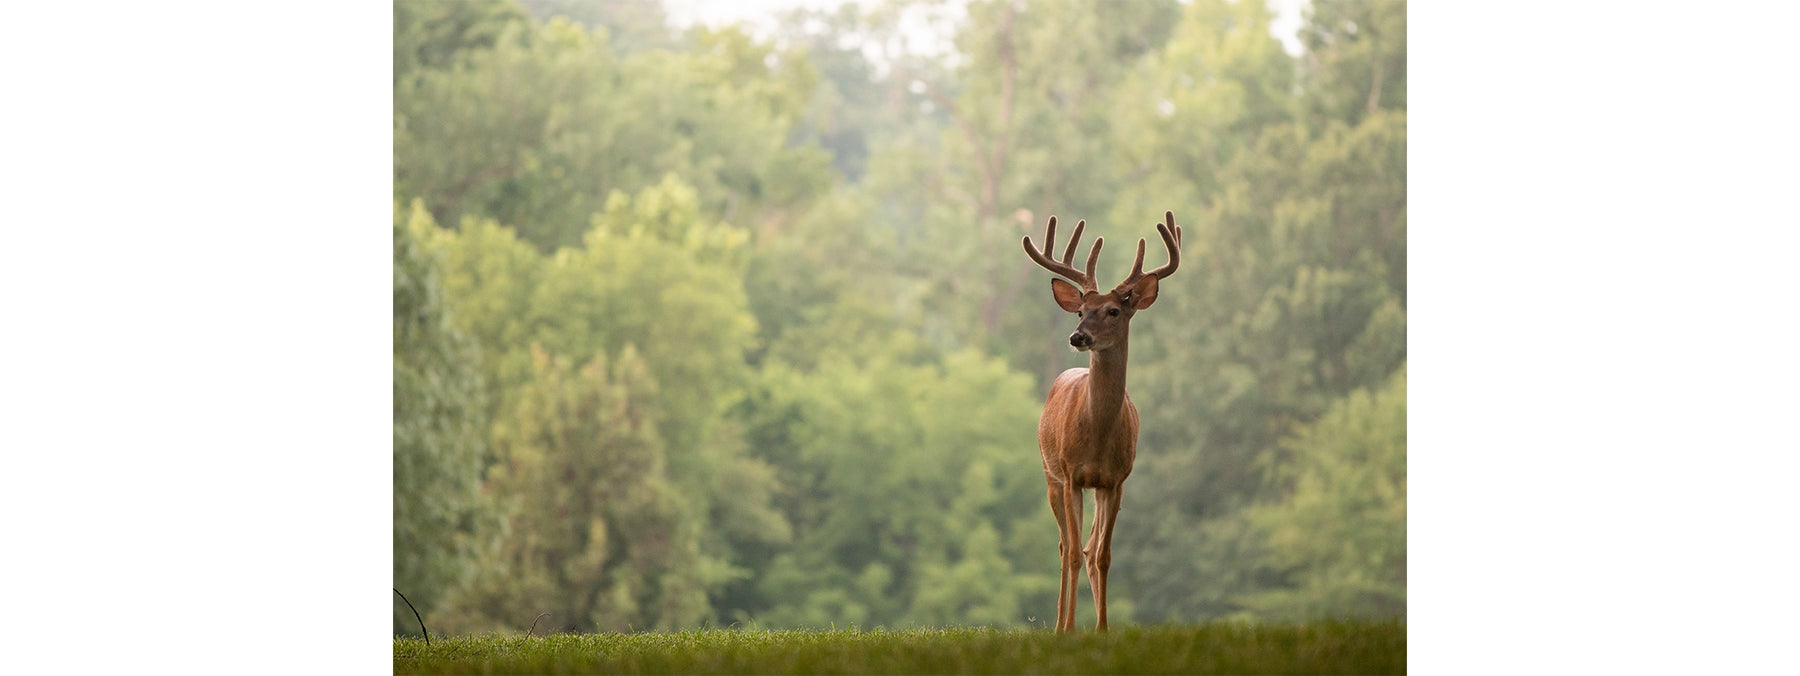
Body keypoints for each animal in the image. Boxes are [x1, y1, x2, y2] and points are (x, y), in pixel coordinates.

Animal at [1029, 208, 1180, 632]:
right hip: (1050, 476)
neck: (1096, 437)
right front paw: (1068, 629)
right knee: (1065, 545)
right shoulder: (1071, 475)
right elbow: (1073, 553)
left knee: (1089, 546)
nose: (1077, 336)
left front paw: (1102, 629)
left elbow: (1103, 555)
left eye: (1114, 311)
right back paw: (1060, 623)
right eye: (1081, 310)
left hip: (1094, 488)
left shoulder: (1116, 480)